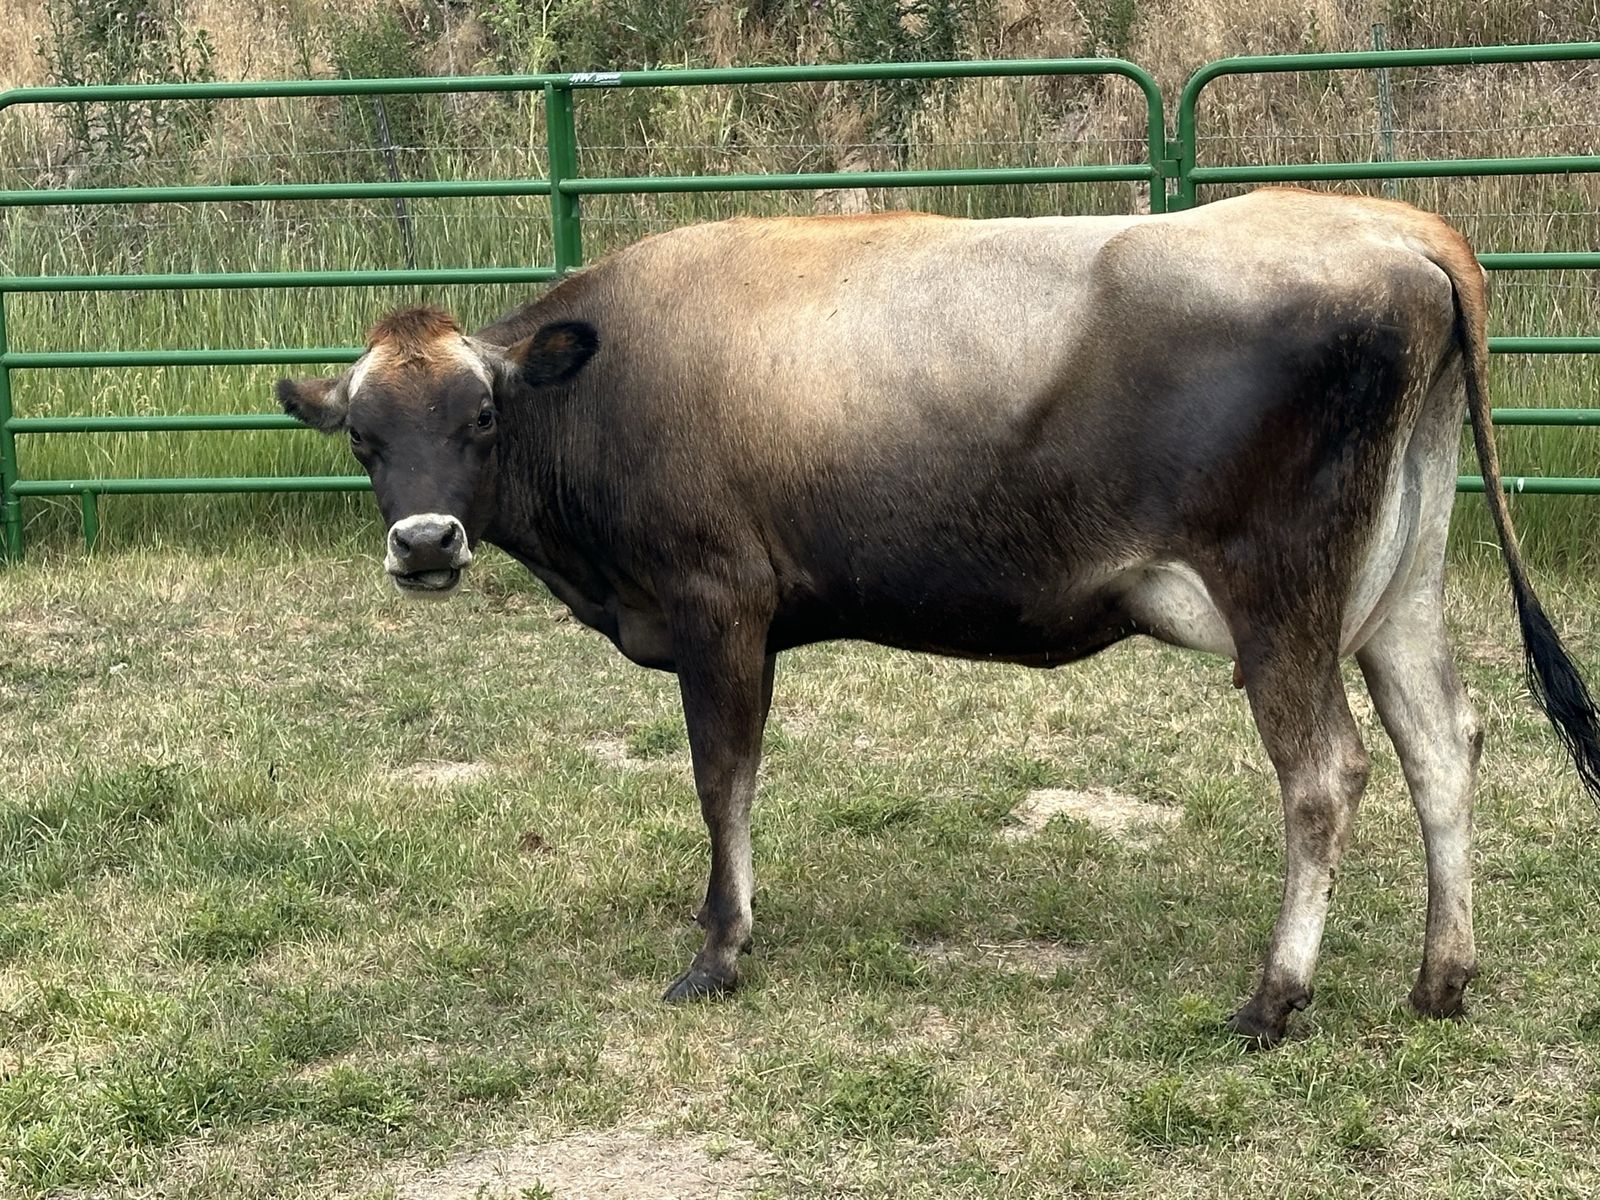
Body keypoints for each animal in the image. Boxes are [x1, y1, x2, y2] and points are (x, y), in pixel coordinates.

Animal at [276, 188, 1600, 1046]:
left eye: (480, 418)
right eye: (363, 436)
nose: (426, 543)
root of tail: (1395, 226)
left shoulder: (718, 602)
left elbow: (720, 774)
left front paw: (719, 947)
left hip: (1279, 592)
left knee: (1325, 770)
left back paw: (1275, 998)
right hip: (1400, 580)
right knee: (1443, 744)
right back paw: (1441, 979)